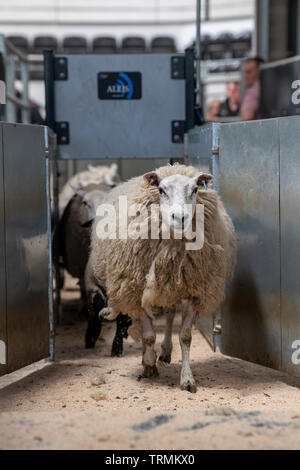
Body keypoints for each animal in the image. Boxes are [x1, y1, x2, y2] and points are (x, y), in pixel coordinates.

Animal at [85, 163, 236, 392]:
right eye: (162, 190)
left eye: (195, 189)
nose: (179, 217)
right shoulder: (135, 291)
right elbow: (148, 336)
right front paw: (149, 365)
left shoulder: (194, 292)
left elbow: (185, 337)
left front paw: (187, 379)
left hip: (171, 288)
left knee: (170, 315)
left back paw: (165, 351)